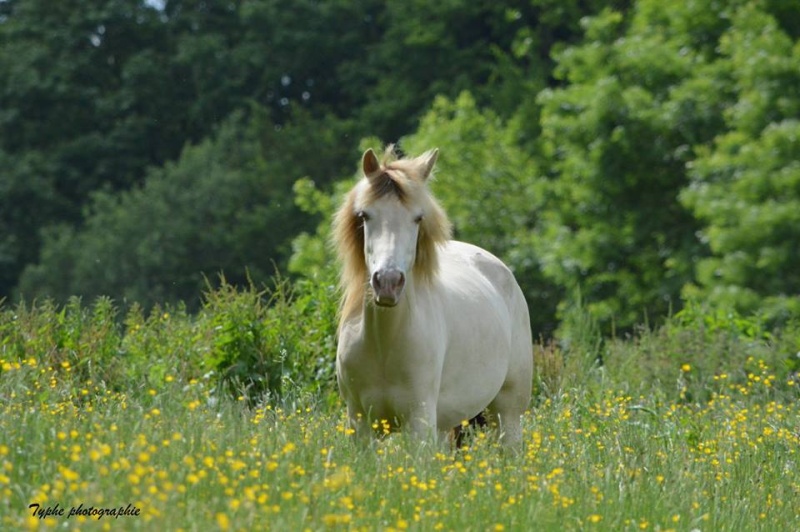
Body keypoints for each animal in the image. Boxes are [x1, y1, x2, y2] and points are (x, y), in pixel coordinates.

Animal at [332, 145, 532, 448]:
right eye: (365, 215)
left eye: (417, 218)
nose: (388, 283)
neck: (383, 344)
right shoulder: (360, 423)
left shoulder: (419, 421)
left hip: (507, 412)